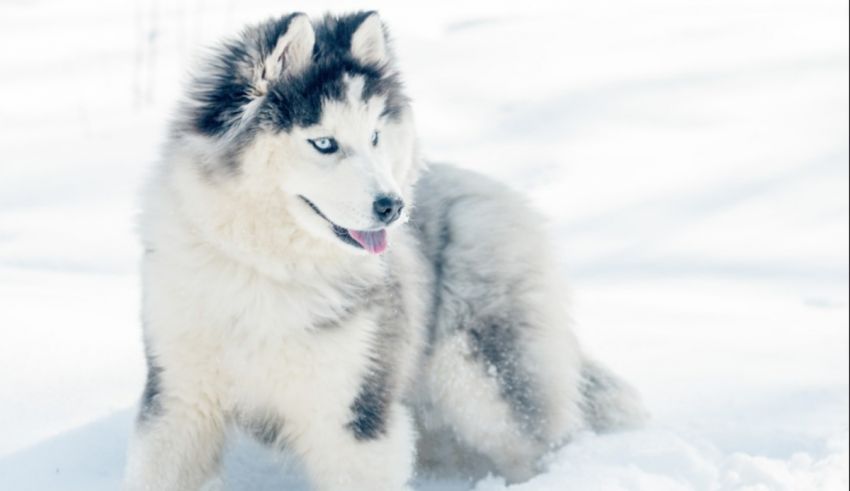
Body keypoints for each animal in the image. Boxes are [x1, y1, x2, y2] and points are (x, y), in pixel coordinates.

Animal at [124, 11, 644, 491]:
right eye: (324, 142)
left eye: (375, 136)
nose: (392, 207)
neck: (272, 269)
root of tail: (491, 189)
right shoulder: (181, 402)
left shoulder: (354, 413)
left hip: (479, 375)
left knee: (540, 443)